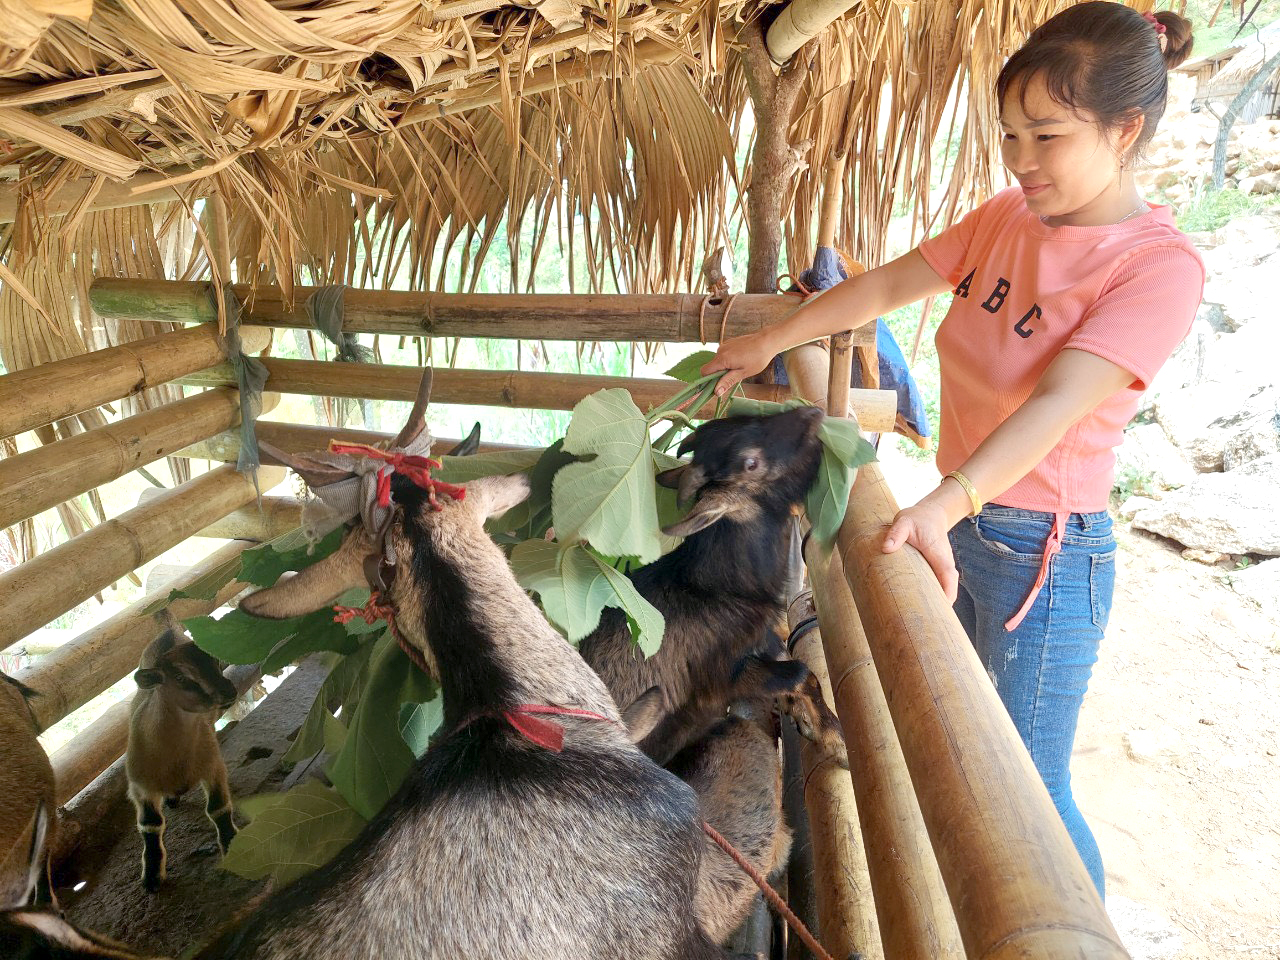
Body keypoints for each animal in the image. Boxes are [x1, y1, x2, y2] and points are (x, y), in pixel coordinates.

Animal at [124, 616, 238, 896]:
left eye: (216, 662)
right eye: (180, 677)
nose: (228, 691)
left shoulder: (213, 766)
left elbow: (219, 808)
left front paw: (232, 845)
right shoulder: (139, 787)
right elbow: (150, 825)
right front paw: (152, 877)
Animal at [578, 404, 839, 757]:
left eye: (742, 419)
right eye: (751, 463)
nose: (812, 413)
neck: (715, 588)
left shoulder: (763, 641)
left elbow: (800, 669)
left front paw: (822, 728)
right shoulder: (723, 679)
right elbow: (799, 672)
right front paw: (835, 738)